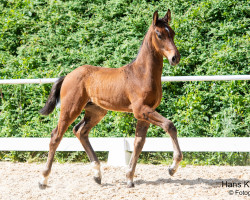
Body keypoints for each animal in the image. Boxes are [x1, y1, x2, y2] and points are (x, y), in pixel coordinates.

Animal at [39, 10, 184, 188]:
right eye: (159, 34)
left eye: (173, 33)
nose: (175, 58)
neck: (141, 74)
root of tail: (68, 76)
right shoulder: (140, 110)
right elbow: (169, 125)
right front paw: (172, 167)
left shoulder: (145, 113)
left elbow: (138, 143)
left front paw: (129, 178)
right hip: (70, 109)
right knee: (56, 136)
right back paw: (43, 179)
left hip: (96, 112)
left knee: (80, 132)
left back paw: (97, 174)